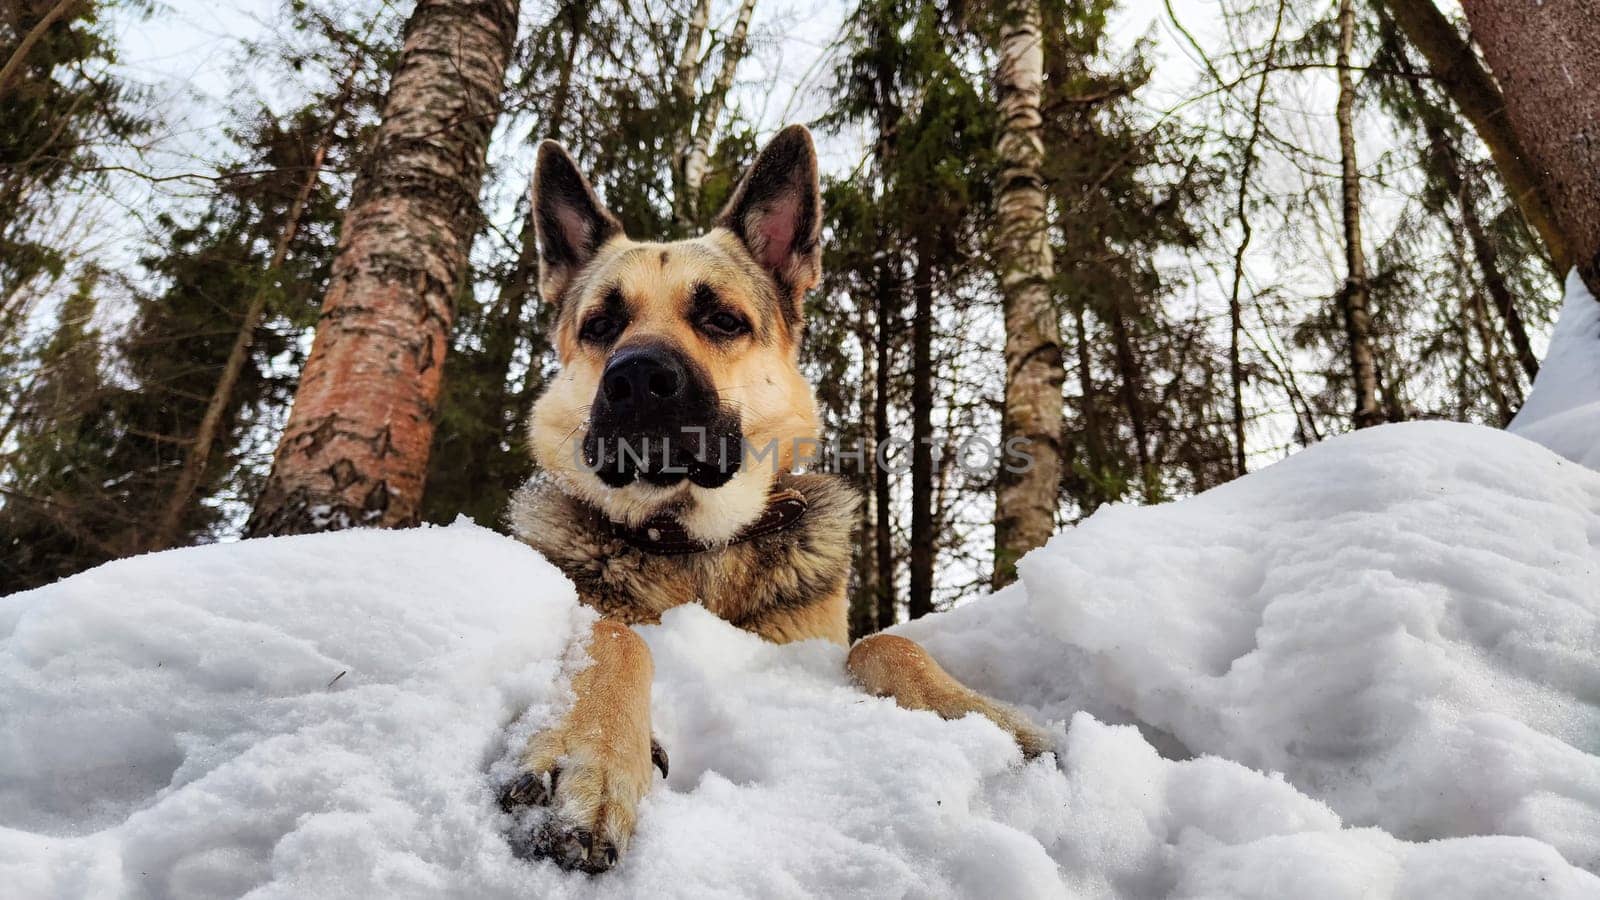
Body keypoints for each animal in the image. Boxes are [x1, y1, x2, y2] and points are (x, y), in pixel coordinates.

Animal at [502, 124, 1049, 871]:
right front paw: (588, 754)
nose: (636, 378)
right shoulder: (602, 616)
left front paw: (972, 713)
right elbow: (617, 637)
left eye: (721, 320)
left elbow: (884, 643)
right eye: (601, 325)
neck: (691, 543)